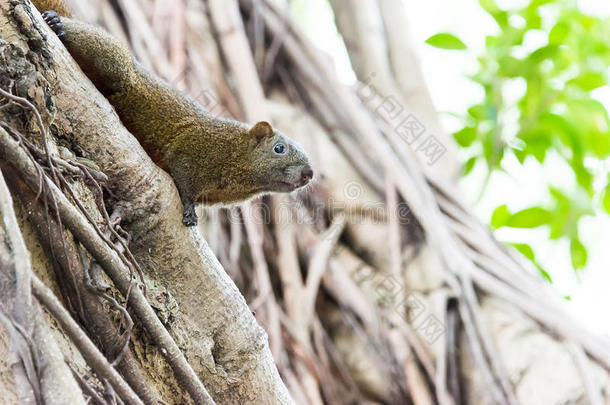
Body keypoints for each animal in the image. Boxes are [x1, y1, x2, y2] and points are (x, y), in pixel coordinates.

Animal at [30, 0, 312, 226]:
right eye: (279, 149)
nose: (308, 175)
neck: (235, 154)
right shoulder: (195, 149)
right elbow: (184, 178)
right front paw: (188, 209)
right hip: (116, 64)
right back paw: (57, 23)